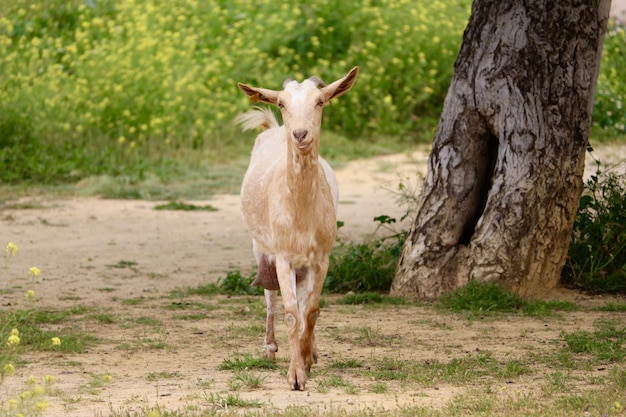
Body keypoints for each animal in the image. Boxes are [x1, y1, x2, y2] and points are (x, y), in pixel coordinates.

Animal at [236, 66, 358, 388]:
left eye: (320, 101)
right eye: (282, 103)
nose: (300, 134)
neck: (300, 213)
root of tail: (273, 129)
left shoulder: (321, 258)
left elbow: (311, 312)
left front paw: (306, 359)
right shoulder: (283, 257)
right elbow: (291, 314)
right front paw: (295, 376)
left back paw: (310, 351)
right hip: (259, 245)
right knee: (269, 297)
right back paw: (269, 348)